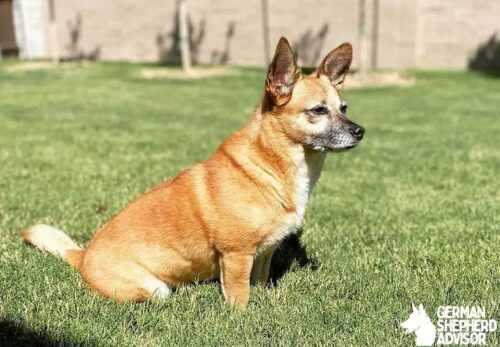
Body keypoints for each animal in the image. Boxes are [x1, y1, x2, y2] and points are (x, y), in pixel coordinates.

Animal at [22, 38, 364, 310]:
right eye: (318, 111)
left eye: (344, 107)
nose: (361, 131)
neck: (271, 166)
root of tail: (82, 257)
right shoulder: (236, 255)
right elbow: (240, 295)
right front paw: (244, 318)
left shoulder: (264, 254)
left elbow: (261, 282)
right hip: (154, 288)